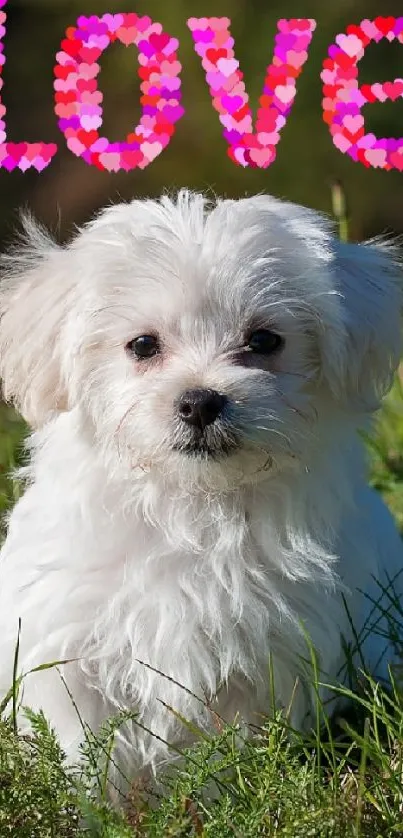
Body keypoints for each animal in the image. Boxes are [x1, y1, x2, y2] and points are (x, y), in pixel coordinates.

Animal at [0, 190, 402, 788]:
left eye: (264, 340)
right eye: (143, 345)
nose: (199, 401)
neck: (192, 506)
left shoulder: (267, 656)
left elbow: (229, 750)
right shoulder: (67, 645)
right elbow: (80, 744)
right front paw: (91, 800)